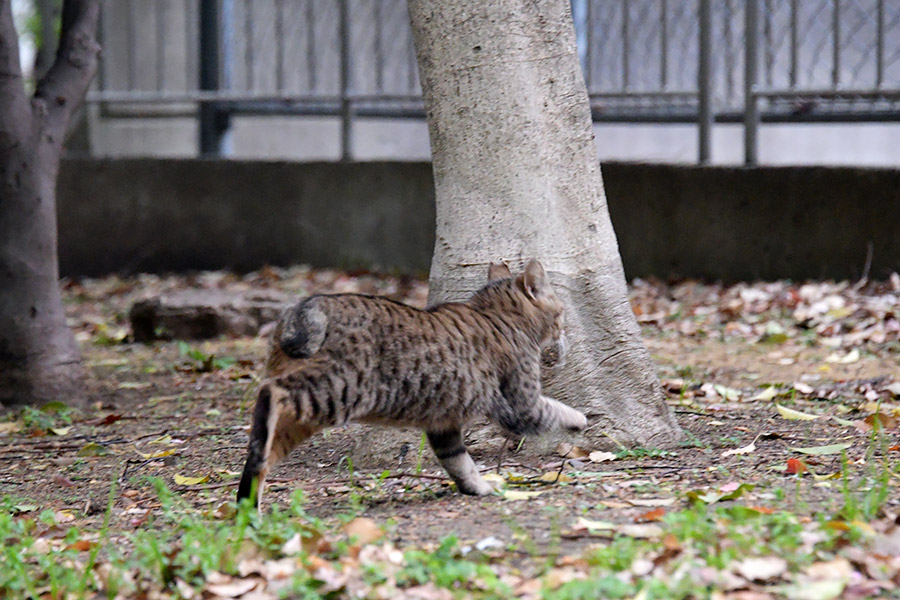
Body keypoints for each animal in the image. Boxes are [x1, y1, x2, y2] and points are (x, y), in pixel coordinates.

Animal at [239, 260, 588, 504]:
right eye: (560, 313)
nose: (564, 332)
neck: (495, 312)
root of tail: (311, 303)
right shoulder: (521, 404)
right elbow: (555, 409)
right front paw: (581, 420)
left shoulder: (443, 424)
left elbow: (460, 464)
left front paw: (478, 487)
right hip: (336, 390)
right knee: (269, 394)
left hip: (304, 417)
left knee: (265, 447)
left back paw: (248, 498)